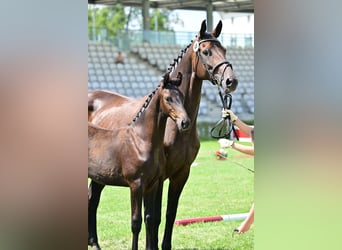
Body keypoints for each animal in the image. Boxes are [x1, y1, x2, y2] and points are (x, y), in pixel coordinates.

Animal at [88, 71, 188, 249]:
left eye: (182, 97)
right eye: (168, 98)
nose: (185, 122)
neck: (141, 141)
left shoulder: (152, 184)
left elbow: (150, 218)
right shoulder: (136, 184)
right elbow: (136, 222)